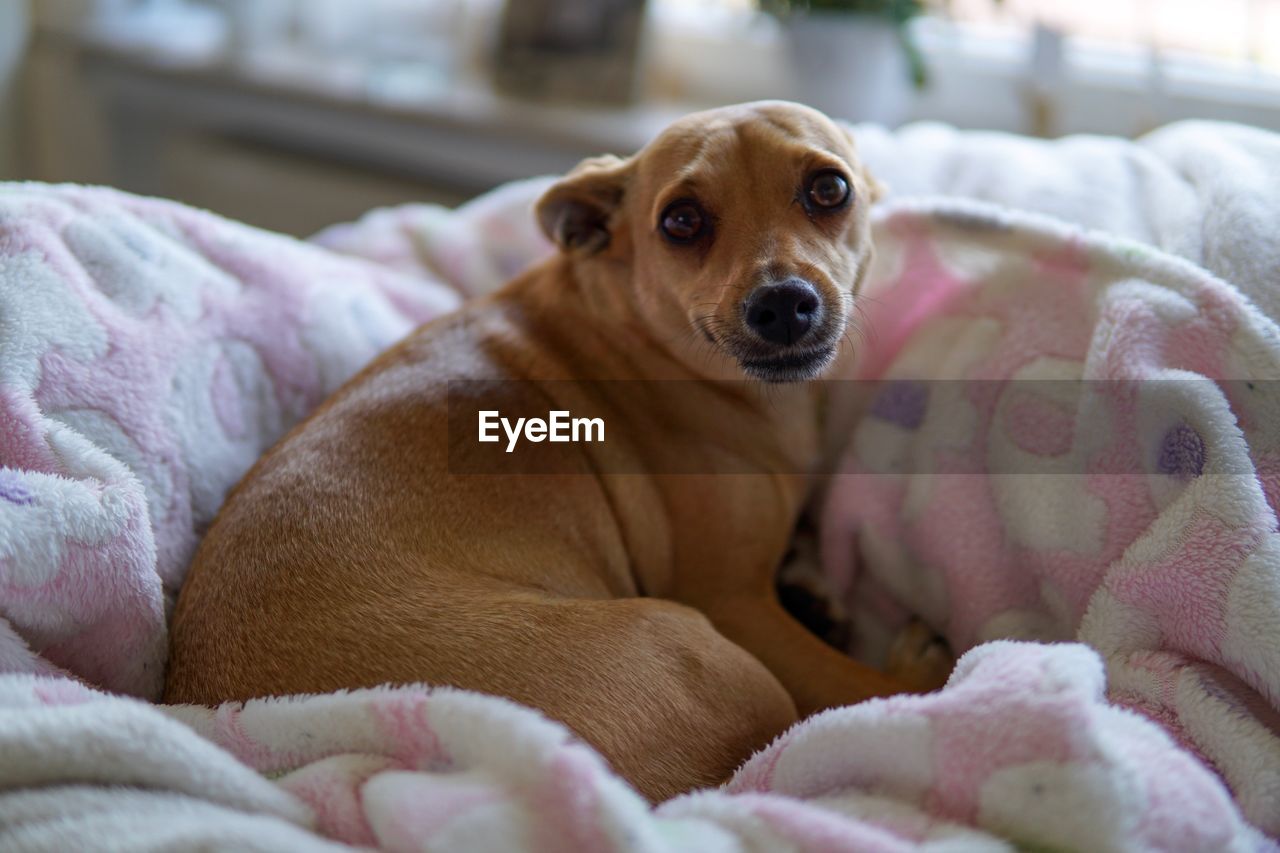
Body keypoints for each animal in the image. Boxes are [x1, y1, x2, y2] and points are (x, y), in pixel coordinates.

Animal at [165, 103, 952, 799]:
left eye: (829, 188)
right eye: (681, 220)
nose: (782, 302)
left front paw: (814, 584)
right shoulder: (735, 603)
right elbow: (857, 687)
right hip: (704, 649)